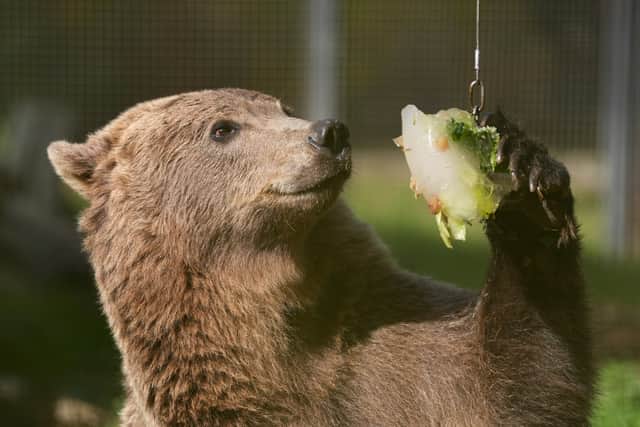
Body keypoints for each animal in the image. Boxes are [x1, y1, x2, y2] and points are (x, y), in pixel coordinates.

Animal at [48, 88, 593, 426]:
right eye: (222, 129)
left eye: (285, 106)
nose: (329, 132)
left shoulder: (393, 357)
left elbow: (511, 389)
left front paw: (524, 175)